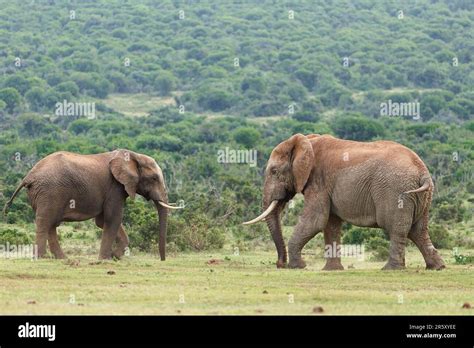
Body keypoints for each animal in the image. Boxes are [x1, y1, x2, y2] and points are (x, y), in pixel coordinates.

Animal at [3, 148, 181, 260]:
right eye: (154, 178)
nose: (162, 260)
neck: (133, 156)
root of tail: (29, 176)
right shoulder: (115, 187)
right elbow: (113, 219)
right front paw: (106, 259)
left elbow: (103, 222)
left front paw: (115, 256)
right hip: (49, 191)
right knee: (45, 221)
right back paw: (42, 258)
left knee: (51, 224)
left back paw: (61, 258)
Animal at [244, 133, 444, 272]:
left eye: (274, 171)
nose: (279, 264)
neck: (308, 142)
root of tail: (422, 171)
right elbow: (330, 224)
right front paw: (331, 270)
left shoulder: (318, 180)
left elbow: (315, 221)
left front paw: (298, 267)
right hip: (422, 196)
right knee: (418, 231)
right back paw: (437, 267)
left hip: (396, 191)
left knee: (397, 228)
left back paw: (391, 269)